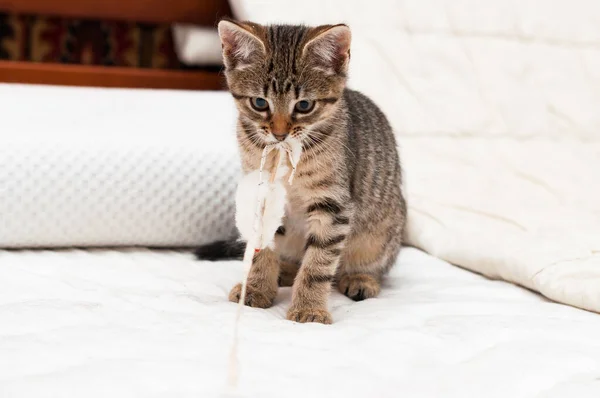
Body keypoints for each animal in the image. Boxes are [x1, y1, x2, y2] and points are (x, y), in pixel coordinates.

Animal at [197, 20, 408, 324]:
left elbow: (317, 264)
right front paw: (257, 287)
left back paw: (361, 278)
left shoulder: (333, 205)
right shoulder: (262, 193)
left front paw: (309, 308)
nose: (279, 133)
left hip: (382, 230)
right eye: (259, 103)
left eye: (304, 105)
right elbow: (262, 247)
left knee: (370, 264)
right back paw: (284, 271)